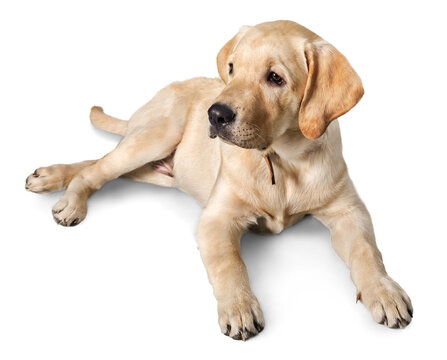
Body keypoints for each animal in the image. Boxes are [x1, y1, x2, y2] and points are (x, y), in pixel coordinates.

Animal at [26, 20, 412, 340]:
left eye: (275, 78)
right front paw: (239, 308)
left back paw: (50, 176)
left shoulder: (349, 211)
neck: (281, 160)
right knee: (98, 168)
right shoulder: (216, 218)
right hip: (156, 135)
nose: (214, 114)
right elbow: (230, 264)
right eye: (232, 68)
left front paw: (384, 291)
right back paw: (68, 198)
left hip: (159, 168)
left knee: (102, 163)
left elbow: (367, 251)